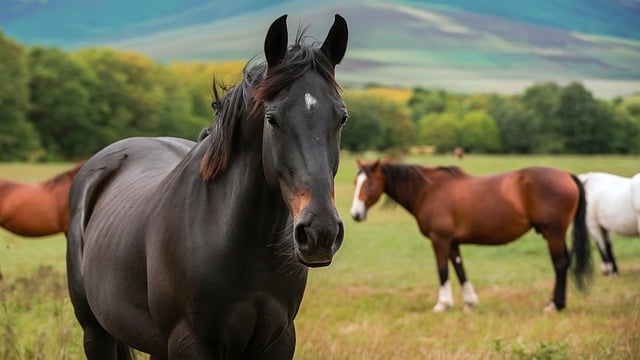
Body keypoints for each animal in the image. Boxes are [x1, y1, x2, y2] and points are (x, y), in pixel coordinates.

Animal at [67, 13, 348, 358]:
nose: (321, 232)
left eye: (342, 118)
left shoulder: (279, 340)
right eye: (272, 119)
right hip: (96, 332)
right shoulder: (191, 342)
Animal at [348, 160, 592, 312]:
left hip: (554, 234)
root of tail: (568, 175)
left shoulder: (439, 240)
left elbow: (443, 270)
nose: (355, 214)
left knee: (560, 265)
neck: (429, 190)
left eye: (370, 183)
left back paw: (554, 305)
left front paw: (443, 304)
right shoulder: (452, 242)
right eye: (355, 183)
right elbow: (460, 269)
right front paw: (470, 302)